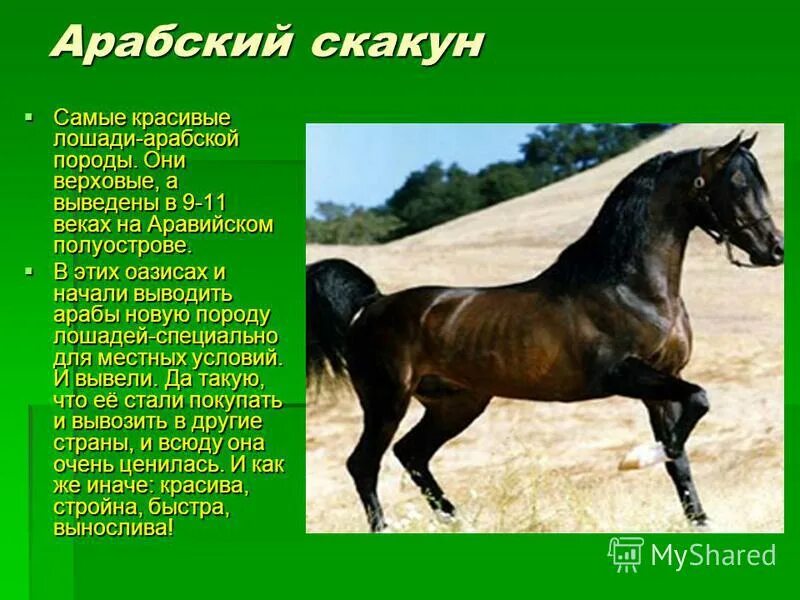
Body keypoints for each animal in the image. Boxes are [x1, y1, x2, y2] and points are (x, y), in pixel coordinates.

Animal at [306, 133, 784, 532]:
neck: (630, 287)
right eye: (736, 183)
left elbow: (679, 452)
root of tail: (373, 305)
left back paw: (462, 524)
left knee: (412, 454)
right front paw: (634, 459)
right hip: (387, 400)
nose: (774, 250)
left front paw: (699, 521)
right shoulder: (622, 375)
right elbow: (697, 403)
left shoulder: (662, 381)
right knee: (364, 463)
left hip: (457, 404)